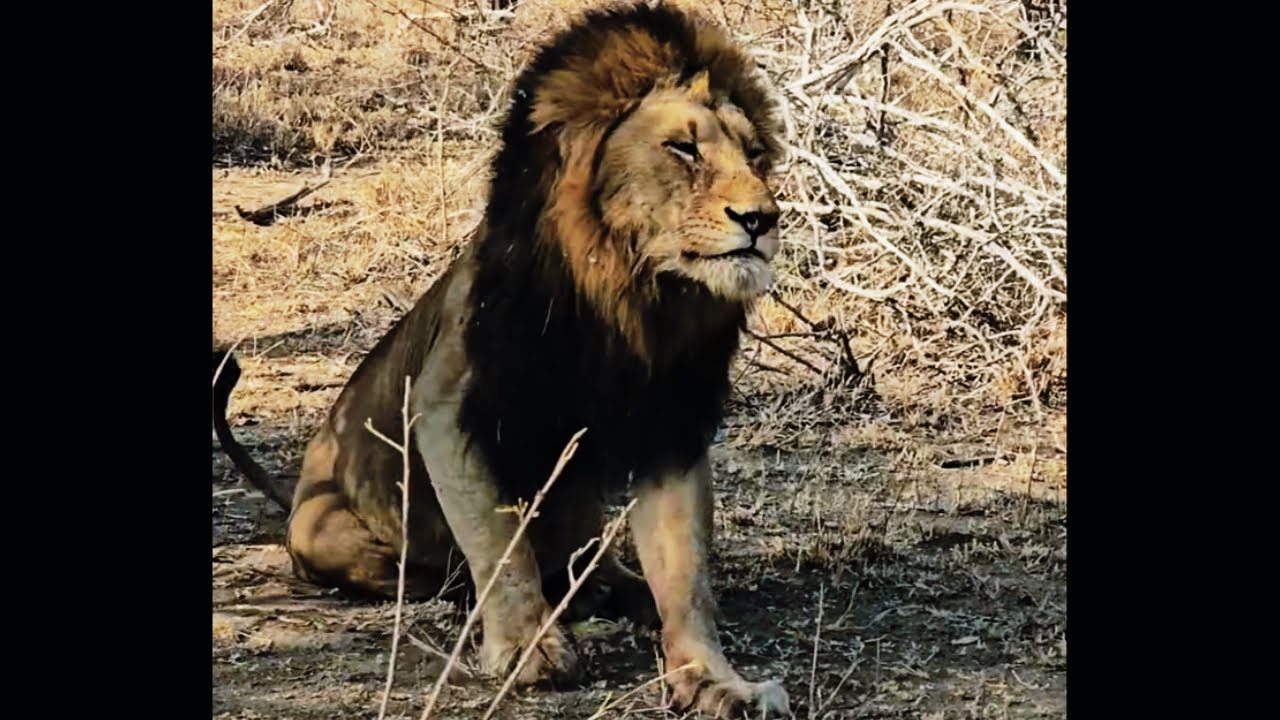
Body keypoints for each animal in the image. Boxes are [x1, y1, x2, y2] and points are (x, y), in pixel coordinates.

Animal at [213, 2, 791, 716]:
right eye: (682, 148)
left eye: (755, 154)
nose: (762, 218)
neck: (632, 299)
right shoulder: (451, 404)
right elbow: (500, 544)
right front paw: (526, 650)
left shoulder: (671, 423)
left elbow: (685, 573)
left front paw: (714, 678)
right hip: (327, 531)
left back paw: (609, 586)